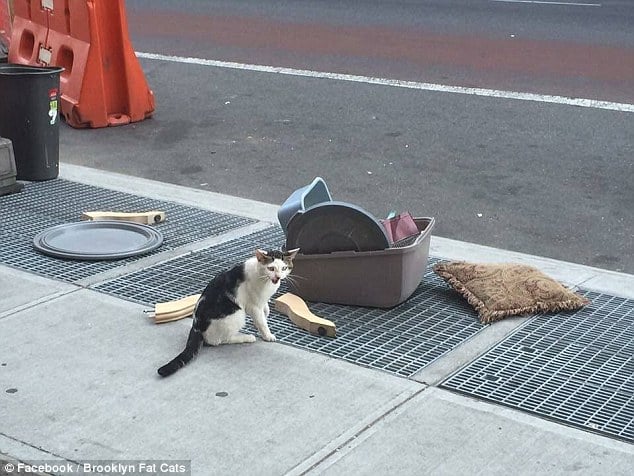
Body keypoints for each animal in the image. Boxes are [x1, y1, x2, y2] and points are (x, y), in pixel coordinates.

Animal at [157, 247, 298, 378]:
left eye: (284, 268)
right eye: (271, 268)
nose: (278, 277)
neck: (265, 279)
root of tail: (196, 326)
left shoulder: (262, 301)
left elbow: (265, 309)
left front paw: (266, 312)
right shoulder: (253, 306)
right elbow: (262, 322)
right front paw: (268, 335)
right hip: (237, 314)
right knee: (218, 340)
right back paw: (246, 337)